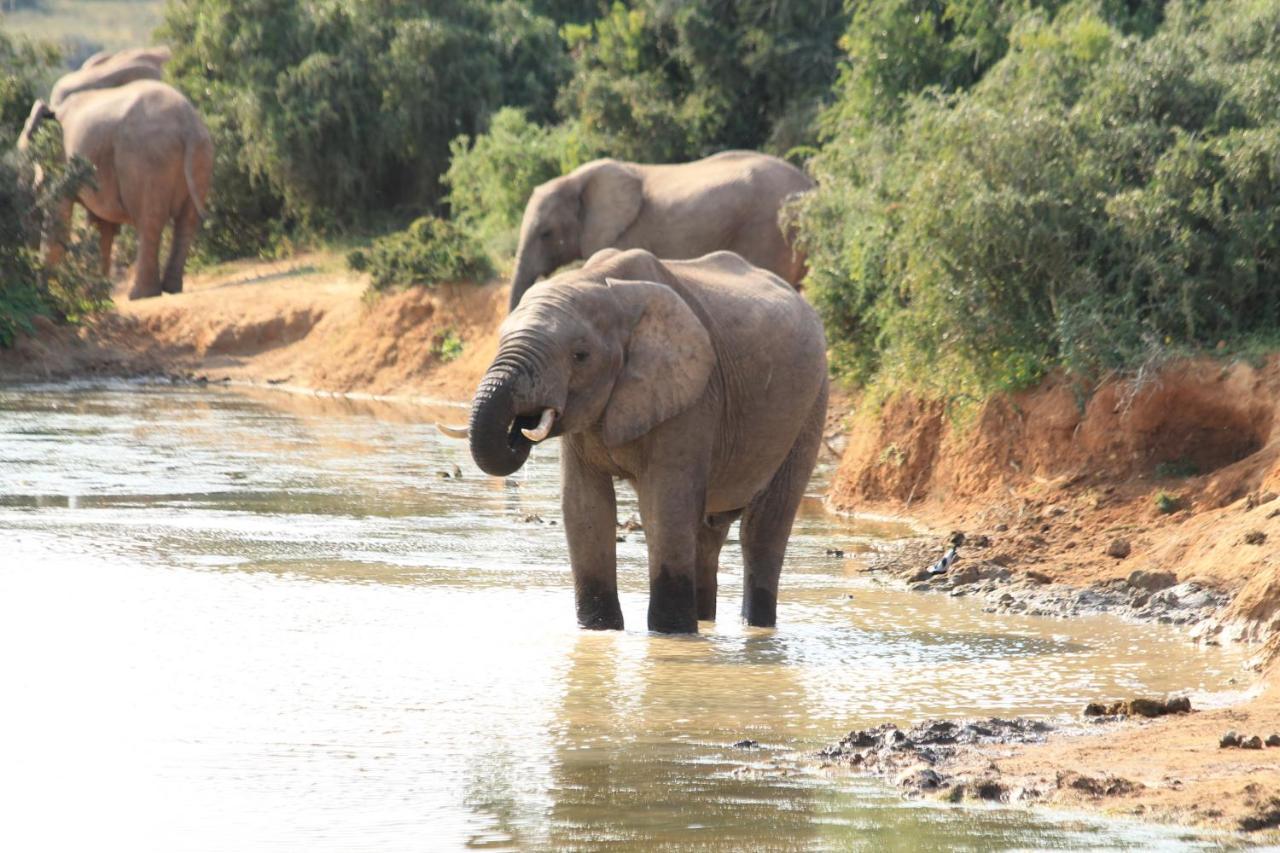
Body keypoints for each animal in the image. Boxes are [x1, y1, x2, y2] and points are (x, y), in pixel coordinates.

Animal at [19, 52, 212, 298]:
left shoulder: (62, 159)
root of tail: (188, 125)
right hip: (200, 155)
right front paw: (93, 296)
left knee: (149, 221)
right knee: (186, 221)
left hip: (146, 159)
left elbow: (59, 215)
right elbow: (102, 226)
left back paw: (140, 295)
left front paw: (44, 293)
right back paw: (171, 289)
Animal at [448, 245, 829, 630]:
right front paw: (599, 630)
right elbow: (584, 505)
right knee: (707, 532)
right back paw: (705, 620)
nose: (519, 427)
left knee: (762, 528)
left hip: (811, 404)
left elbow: (665, 506)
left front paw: (670, 634)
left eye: (580, 355)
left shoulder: (692, 396)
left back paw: (755, 626)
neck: (604, 286)